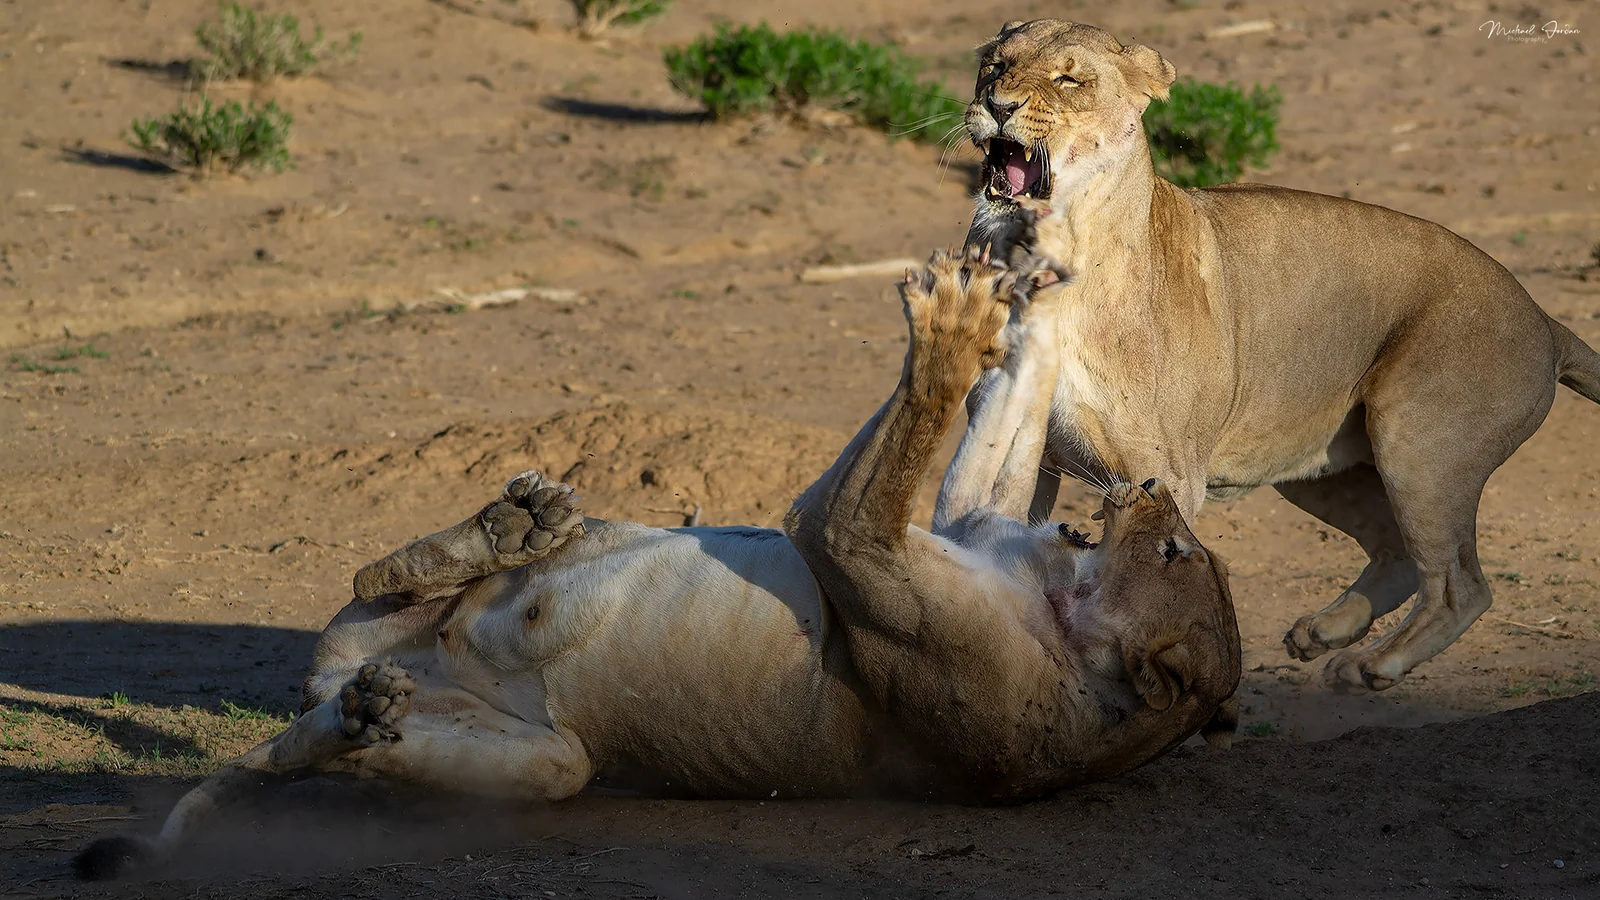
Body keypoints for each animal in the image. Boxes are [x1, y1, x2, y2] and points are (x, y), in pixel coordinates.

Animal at [76, 247, 1239, 880]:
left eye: (1172, 548)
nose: (1147, 489)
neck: (1056, 598)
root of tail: (334, 686)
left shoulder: (863, 556)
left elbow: (909, 435)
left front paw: (956, 323)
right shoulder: (957, 523)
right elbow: (987, 429)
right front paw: (1028, 286)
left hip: (545, 761)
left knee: (349, 733)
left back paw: (370, 714)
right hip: (450, 631)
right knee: (378, 593)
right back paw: (510, 531)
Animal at [956, 19, 1600, 692]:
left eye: (1069, 79)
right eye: (994, 66)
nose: (998, 104)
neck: (1052, 252)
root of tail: (1545, 320)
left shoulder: (1161, 473)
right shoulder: (1023, 446)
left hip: (1419, 445)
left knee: (1460, 585)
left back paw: (1371, 664)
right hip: (1324, 467)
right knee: (1399, 553)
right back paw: (1324, 634)